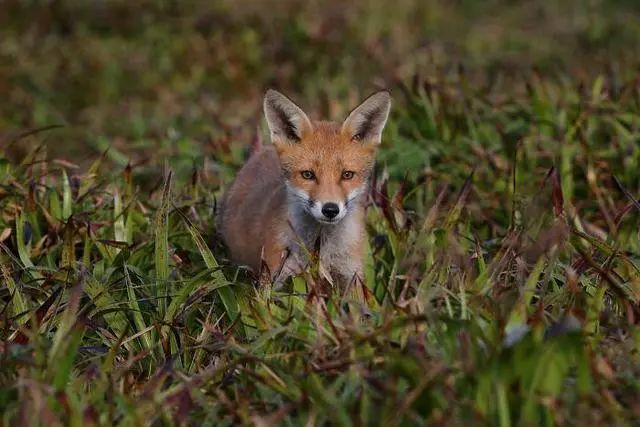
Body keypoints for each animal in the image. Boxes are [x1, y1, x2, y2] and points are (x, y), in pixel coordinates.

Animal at [219, 89, 390, 288]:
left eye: (347, 175)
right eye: (308, 175)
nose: (330, 210)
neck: (321, 250)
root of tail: (261, 152)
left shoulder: (352, 277)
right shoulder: (275, 278)